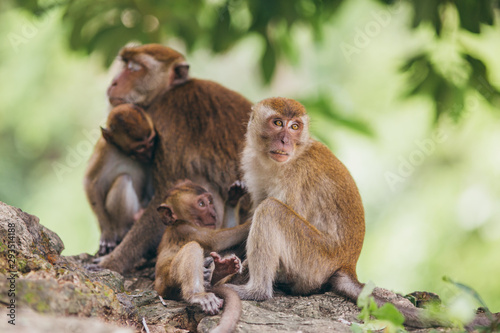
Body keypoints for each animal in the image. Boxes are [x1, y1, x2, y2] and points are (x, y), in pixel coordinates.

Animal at [84, 104, 155, 254]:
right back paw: (123, 230)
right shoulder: (104, 149)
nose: (149, 154)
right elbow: (90, 182)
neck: (123, 153)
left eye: (151, 141)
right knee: (124, 179)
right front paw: (107, 233)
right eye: (140, 147)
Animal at [99, 44, 252, 272]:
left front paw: (113, 261)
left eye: (135, 68)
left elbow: (167, 189)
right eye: (125, 64)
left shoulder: (166, 120)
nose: (114, 82)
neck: (168, 92)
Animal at [153, 179, 249, 332]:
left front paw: (233, 198)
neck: (177, 222)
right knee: (192, 247)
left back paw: (219, 271)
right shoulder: (184, 228)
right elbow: (215, 240)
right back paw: (198, 294)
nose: (213, 214)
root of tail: (158, 290)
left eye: (210, 202)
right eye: (201, 204)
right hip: (168, 283)